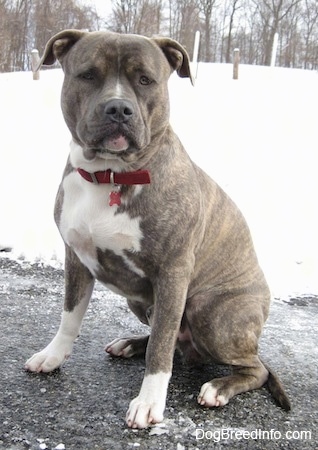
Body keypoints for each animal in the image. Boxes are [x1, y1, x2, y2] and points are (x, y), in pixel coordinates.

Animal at [26, 29, 290, 428]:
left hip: (210, 312)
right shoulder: (76, 258)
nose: (119, 109)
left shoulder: (173, 273)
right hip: (140, 300)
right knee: (173, 343)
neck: (112, 174)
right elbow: (70, 316)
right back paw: (131, 343)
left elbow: (161, 347)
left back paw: (219, 387)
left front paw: (149, 402)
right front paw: (52, 356)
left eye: (145, 80)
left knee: (254, 368)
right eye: (88, 75)